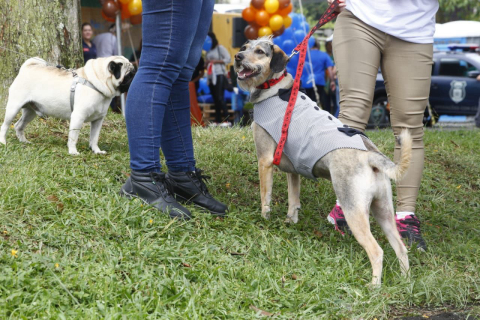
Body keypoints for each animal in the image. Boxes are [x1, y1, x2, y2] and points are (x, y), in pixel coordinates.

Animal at [0, 55, 135, 154]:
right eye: (128, 75)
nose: (135, 76)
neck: (96, 82)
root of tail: (26, 68)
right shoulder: (78, 117)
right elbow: (73, 137)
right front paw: (73, 152)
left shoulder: (98, 120)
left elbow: (94, 138)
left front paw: (96, 151)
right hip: (13, 107)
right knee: (5, 126)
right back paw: (3, 142)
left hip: (30, 112)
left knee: (19, 126)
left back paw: (24, 142)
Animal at [234, 37, 410, 284]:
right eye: (244, 48)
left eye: (260, 51)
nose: (237, 57)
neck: (275, 89)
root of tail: (370, 155)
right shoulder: (293, 171)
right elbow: (293, 200)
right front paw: (290, 222)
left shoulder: (265, 161)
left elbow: (265, 197)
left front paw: (264, 219)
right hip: (383, 210)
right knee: (401, 248)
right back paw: (406, 281)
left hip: (354, 210)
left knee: (377, 251)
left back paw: (374, 286)